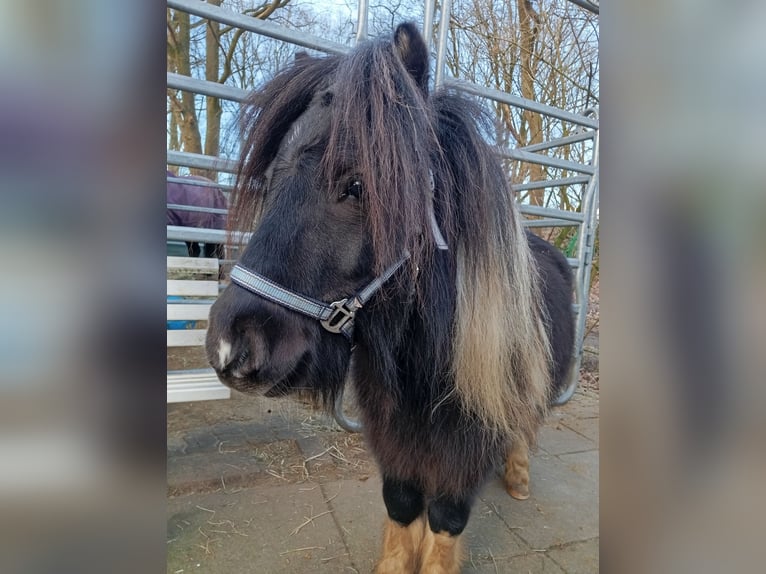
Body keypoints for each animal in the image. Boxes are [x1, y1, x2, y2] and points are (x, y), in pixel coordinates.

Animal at [207, 23, 572, 574]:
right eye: (269, 180)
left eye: (358, 185)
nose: (232, 347)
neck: (426, 363)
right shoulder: (393, 435)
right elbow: (402, 506)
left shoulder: (466, 445)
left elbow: (445, 517)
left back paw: (519, 477)